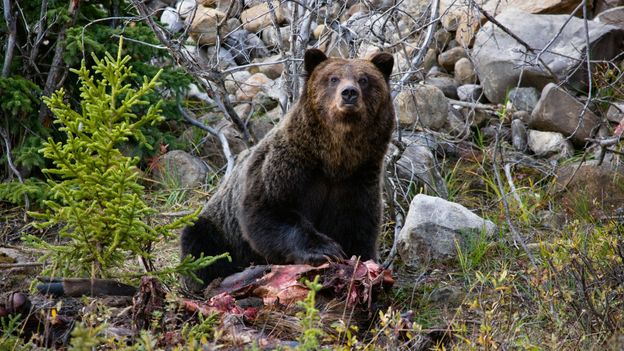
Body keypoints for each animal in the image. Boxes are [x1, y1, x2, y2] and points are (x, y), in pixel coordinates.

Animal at [180, 48, 394, 292]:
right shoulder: (288, 165)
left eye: (364, 79)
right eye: (333, 78)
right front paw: (324, 249)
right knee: (199, 244)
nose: (349, 93)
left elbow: (358, 229)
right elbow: (269, 211)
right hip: (219, 228)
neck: (334, 160)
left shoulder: (358, 179)